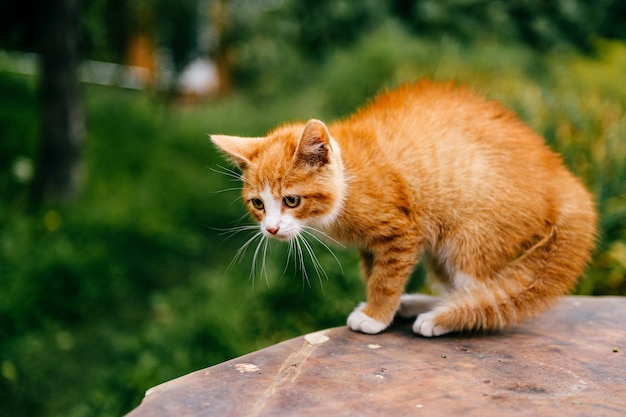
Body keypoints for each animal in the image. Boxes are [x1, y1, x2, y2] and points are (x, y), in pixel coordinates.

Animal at [210, 80, 596, 334]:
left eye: (292, 200)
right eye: (258, 204)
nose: (272, 229)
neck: (350, 180)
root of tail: (561, 178)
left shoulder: (403, 230)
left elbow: (386, 278)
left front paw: (375, 316)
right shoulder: (370, 245)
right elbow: (375, 274)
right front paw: (382, 308)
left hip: (471, 236)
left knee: (479, 289)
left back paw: (440, 319)